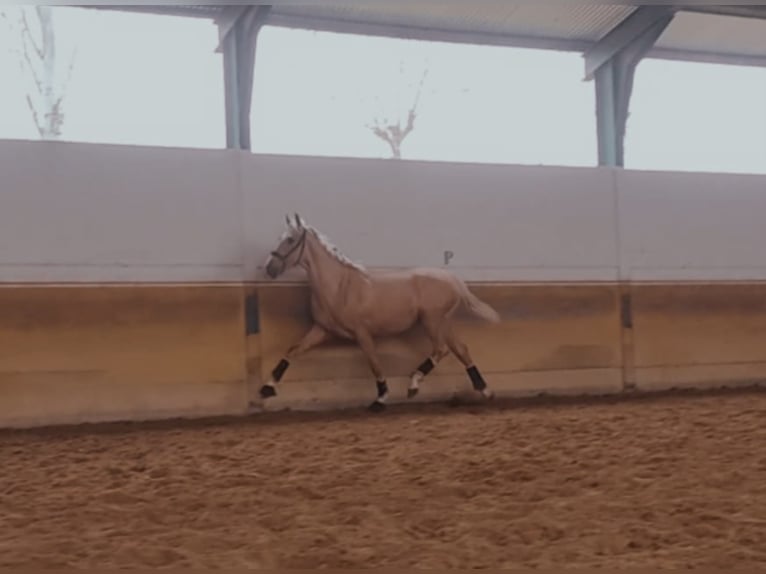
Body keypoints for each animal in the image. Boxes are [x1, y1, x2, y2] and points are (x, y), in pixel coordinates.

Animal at [262, 214, 504, 412]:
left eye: (290, 240)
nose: (270, 268)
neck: (339, 287)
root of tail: (452, 279)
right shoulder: (322, 329)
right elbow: (292, 350)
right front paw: (266, 389)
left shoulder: (362, 333)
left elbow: (374, 362)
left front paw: (380, 399)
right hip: (443, 323)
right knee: (461, 350)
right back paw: (485, 390)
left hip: (432, 321)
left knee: (441, 350)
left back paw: (414, 384)